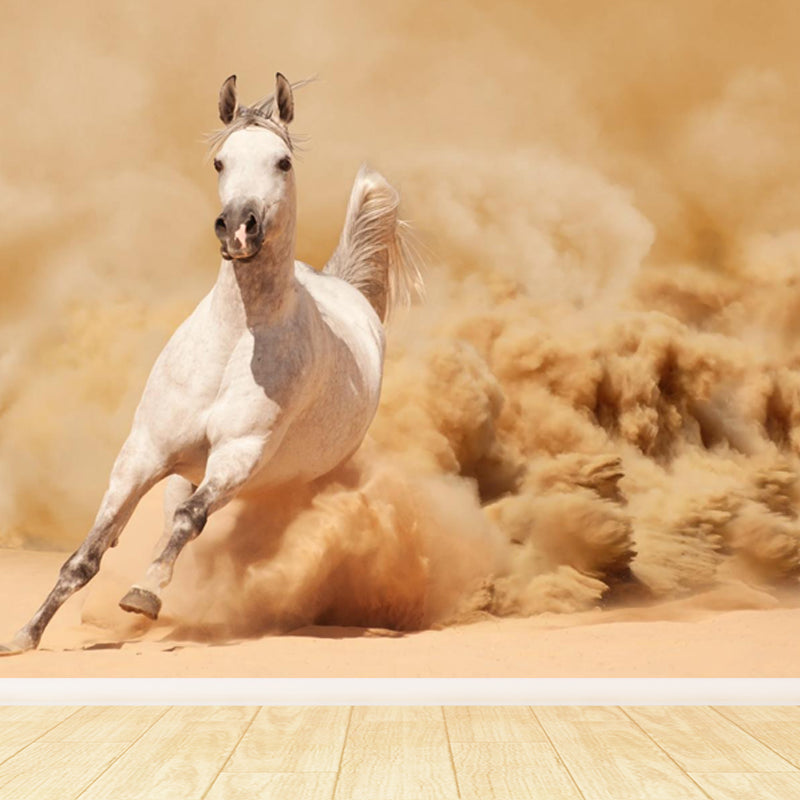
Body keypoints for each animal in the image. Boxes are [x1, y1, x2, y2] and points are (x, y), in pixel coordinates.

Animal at [1, 73, 422, 654]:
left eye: (282, 162)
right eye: (221, 162)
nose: (239, 228)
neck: (234, 343)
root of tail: (345, 286)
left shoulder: (238, 455)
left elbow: (188, 521)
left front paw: (143, 594)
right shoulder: (143, 453)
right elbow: (89, 552)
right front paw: (26, 634)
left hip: (286, 479)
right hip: (189, 470)